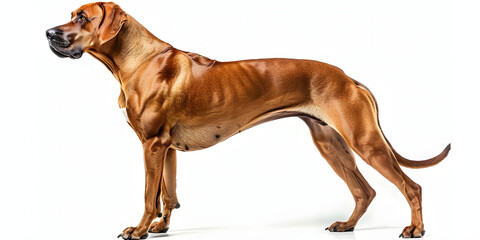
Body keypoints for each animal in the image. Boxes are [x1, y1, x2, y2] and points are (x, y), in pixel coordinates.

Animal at [45, 1, 450, 238]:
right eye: (71, 15)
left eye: (82, 17)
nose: (49, 33)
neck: (138, 58)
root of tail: (350, 78)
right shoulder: (166, 148)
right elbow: (168, 194)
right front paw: (160, 227)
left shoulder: (152, 145)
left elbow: (149, 194)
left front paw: (140, 229)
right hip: (331, 144)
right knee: (364, 191)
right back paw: (347, 225)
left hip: (364, 142)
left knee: (411, 187)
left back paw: (415, 229)